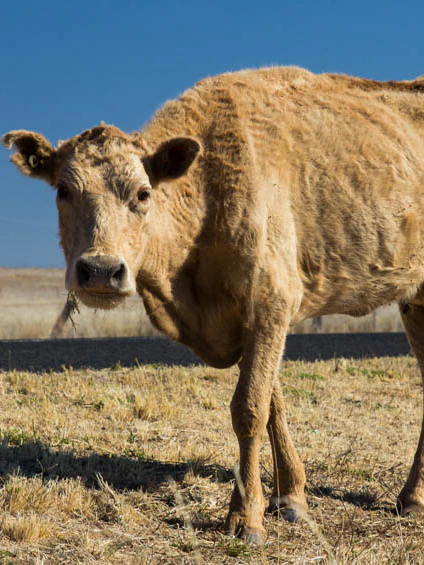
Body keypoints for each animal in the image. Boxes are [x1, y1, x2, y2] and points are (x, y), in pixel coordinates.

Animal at [3, 67, 424, 548]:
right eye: (63, 191)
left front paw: (246, 517)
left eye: (143, 194)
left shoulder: (271, 300)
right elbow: (273, 405)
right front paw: (290, 497)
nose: (100, 270)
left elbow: (249, 409)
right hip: (415, 301)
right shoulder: (253, 319)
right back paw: (412, 498)